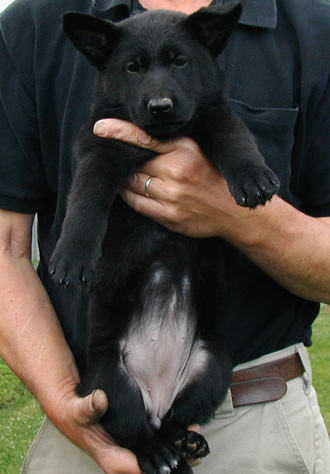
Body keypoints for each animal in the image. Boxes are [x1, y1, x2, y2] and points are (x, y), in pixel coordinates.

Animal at [50, 4, 280, 474]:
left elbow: (235, 137)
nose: (160, 106)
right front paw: (73, 254)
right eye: (132, 68)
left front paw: (252, 175)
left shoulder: (213, 114)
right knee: (133, 430)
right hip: (109, 383)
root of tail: (155, 396)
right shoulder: (98, 147)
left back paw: (184, 443)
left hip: (212, 368)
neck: (161, 137)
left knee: (175, 419)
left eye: (180, 62)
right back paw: (157, 454)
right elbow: (86, 199)